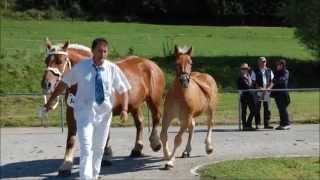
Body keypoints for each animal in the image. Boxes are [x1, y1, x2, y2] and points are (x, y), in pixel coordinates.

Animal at [40, 39, 165, 176]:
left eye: (60, 61)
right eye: (46, 60)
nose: (46, 84)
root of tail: (151, 64)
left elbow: (105, 135)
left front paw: (105, 156)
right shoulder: (71, 112)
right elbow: (71, 139)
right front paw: (66, 164)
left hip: (154, 100)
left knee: (157, 118)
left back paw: (155, 143)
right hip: (134, 105)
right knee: (140, 123)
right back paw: (137, 149)